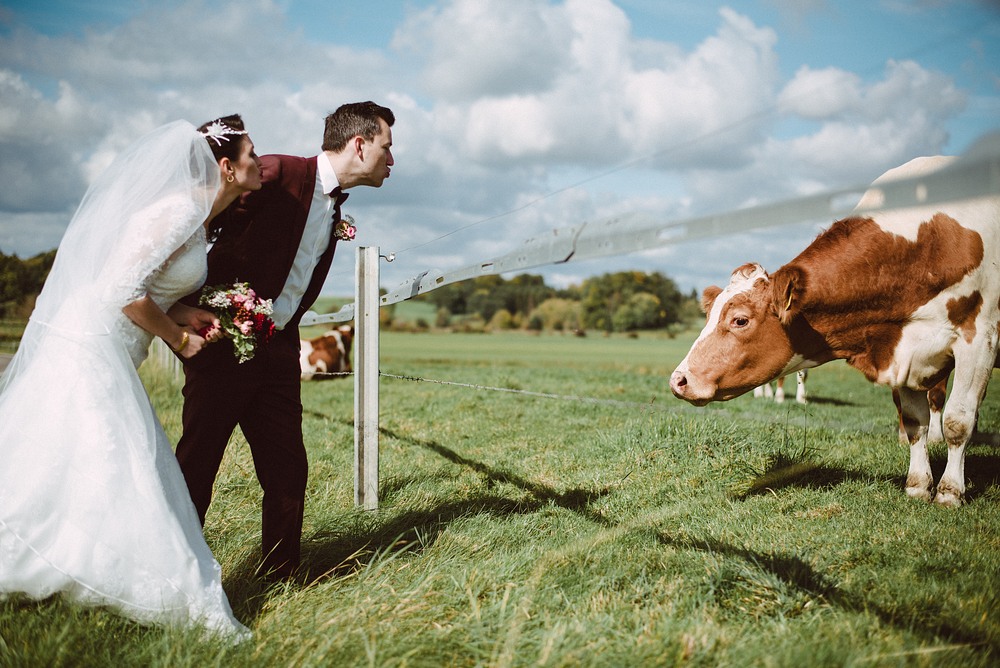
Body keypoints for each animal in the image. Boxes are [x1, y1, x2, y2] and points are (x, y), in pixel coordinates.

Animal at [672, 157, 1000, 508]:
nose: (678, 380)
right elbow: (915, 422)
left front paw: (949, 491)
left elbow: (957, 420)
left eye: (740, 320)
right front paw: (917, 485)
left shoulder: (979, 340)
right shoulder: (903, 351)